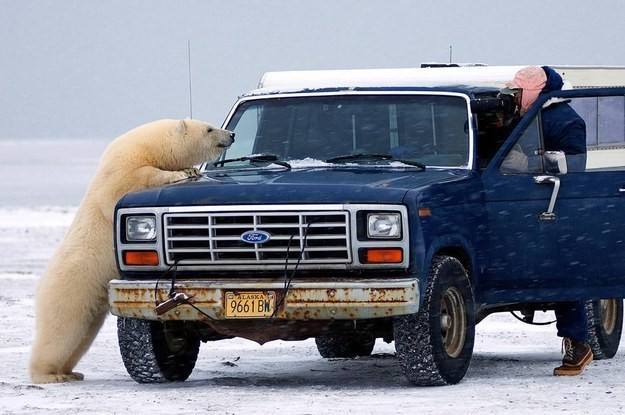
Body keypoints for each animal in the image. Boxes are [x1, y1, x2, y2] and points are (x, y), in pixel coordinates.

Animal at [29, 118, 234, 386]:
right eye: (209, 128)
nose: (231, 134)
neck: (147, 145)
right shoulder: (120, 169)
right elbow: (132, 180)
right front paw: (181, 173)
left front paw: (191, 170)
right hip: (68, 289)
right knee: (61, 331)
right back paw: (50, 375)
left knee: (81, 336)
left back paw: (71, 372)